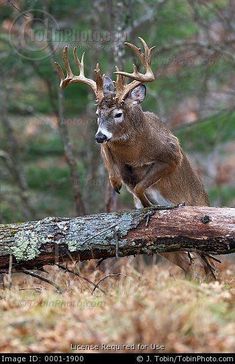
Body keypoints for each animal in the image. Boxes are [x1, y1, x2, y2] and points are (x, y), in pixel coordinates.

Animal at [55, 37, 217, 282]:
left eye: (118, 113)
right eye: (97, 114)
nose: (99, 136)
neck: (135, 150)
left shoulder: (172, 155)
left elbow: (141, 184)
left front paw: (151, 205)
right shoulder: (112, 152)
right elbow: (113, 163)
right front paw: (117, 183)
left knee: (204, 263)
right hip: (171, 249)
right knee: (189, 264)